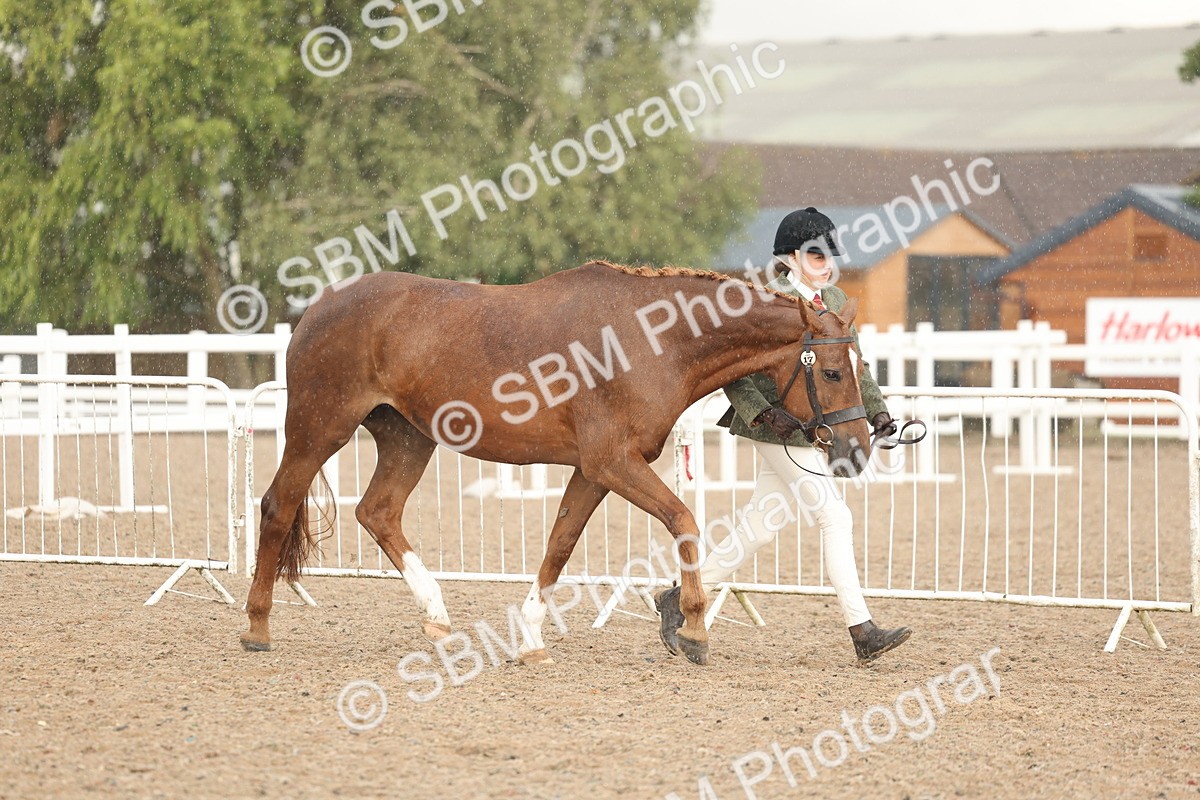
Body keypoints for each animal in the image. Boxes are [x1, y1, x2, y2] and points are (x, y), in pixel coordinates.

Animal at [239, 260, 872, 665]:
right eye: (833, 372)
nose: (859, 447)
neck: (652, 340)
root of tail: (318, 307)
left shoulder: (594, 472)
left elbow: (559, 546)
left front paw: (530, 640)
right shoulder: (614, 463)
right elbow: (684, 522)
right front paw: (692, 627)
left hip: (407, 439)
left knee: (377, 512)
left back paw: (438, 617)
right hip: (319, 430)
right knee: (278, 506)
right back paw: (257, 626)